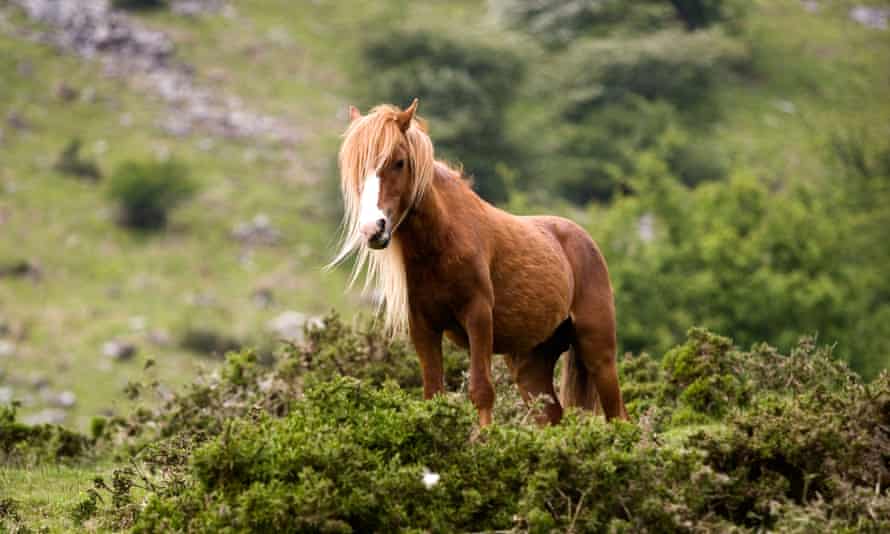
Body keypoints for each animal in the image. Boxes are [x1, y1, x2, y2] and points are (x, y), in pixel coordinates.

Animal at [328, 99, 624, 428]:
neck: (442, 243)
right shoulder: (423, 327)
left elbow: (481, 391)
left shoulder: (478, 316)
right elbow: (433, 393)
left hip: (599, 354)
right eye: (356, 169)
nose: (373, 229)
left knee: (619, 414)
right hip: (531, 364)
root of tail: (583, 239)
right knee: (551, 415)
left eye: (399, 162)